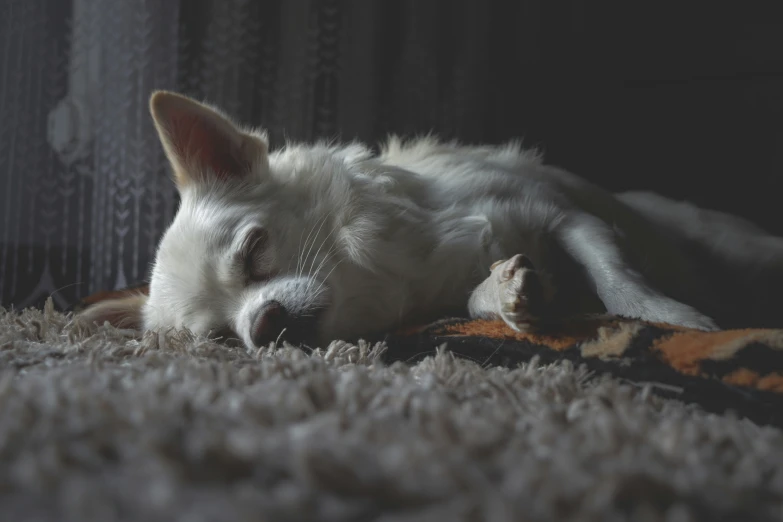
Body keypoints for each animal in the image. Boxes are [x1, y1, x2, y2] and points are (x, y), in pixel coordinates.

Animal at [81, 91, 783, 348]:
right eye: (225, 341)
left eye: (255, 252)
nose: (264, 324)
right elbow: (471, 301)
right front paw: (505, 292)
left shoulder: (563, 215)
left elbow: (617, 277)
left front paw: (676, 321)